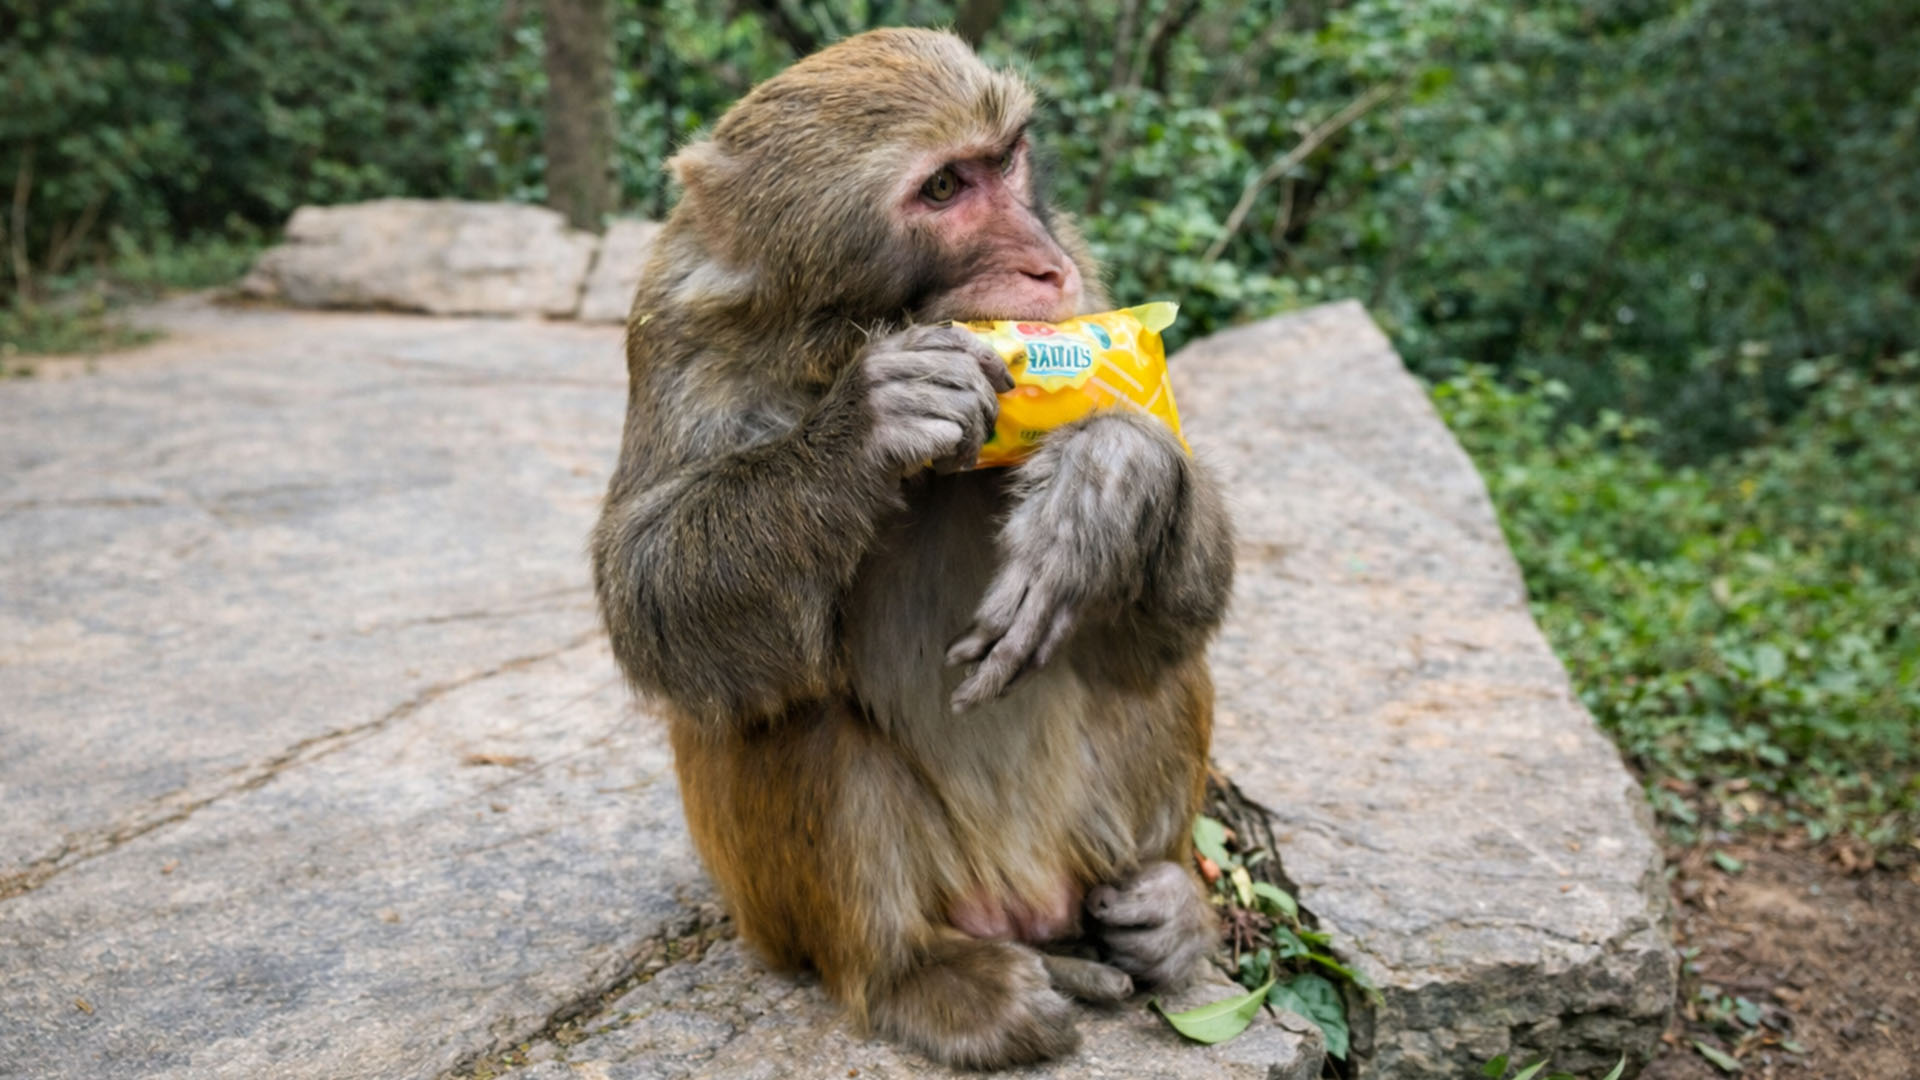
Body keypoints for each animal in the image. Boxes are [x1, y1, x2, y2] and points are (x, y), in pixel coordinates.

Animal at [589, 28, 1235, 1069]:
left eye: (1006, 160)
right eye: (941, 188)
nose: (1045, 271)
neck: (832, 328)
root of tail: (1021, 897)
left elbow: (1191, 563)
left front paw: (1114, 476)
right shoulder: (679, 333)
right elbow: (645, 592)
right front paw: (869, 423)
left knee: (1158, 651)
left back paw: (1170, 912)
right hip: (795, 917)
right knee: (784, 707)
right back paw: (914, 972)